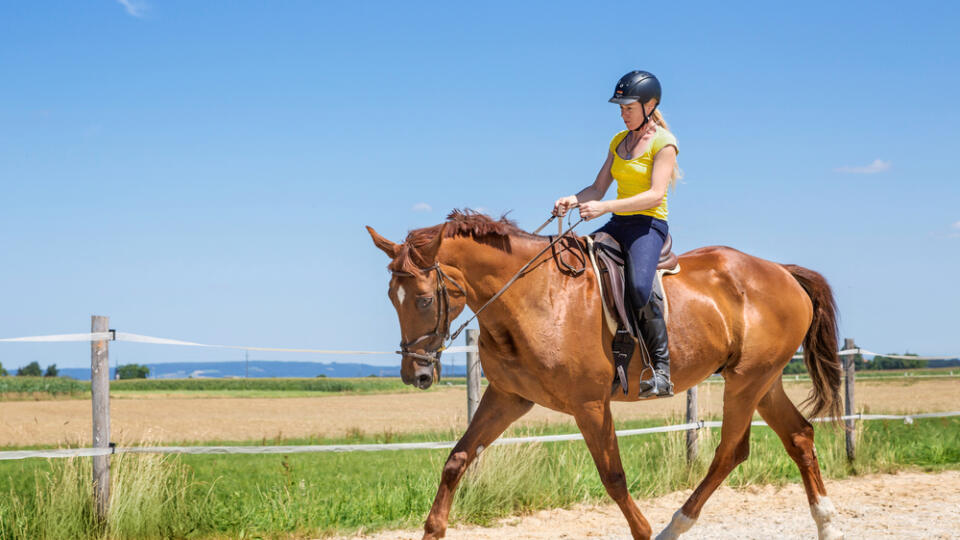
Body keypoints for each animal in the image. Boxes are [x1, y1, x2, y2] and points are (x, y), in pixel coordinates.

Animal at [364, 211, 844, 540]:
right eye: (391, 297)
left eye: (424, 300)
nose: (415, 374)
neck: (533, 297)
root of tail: (781, 271)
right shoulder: (507, 397)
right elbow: (457, 459)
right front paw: (433, 529)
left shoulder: (590, 404)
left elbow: (613, 477)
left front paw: (645, 532)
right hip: (765, 380)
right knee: (798, 436)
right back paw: (827, 524)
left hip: (746, 381)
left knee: (731, 451)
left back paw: (674, 526)